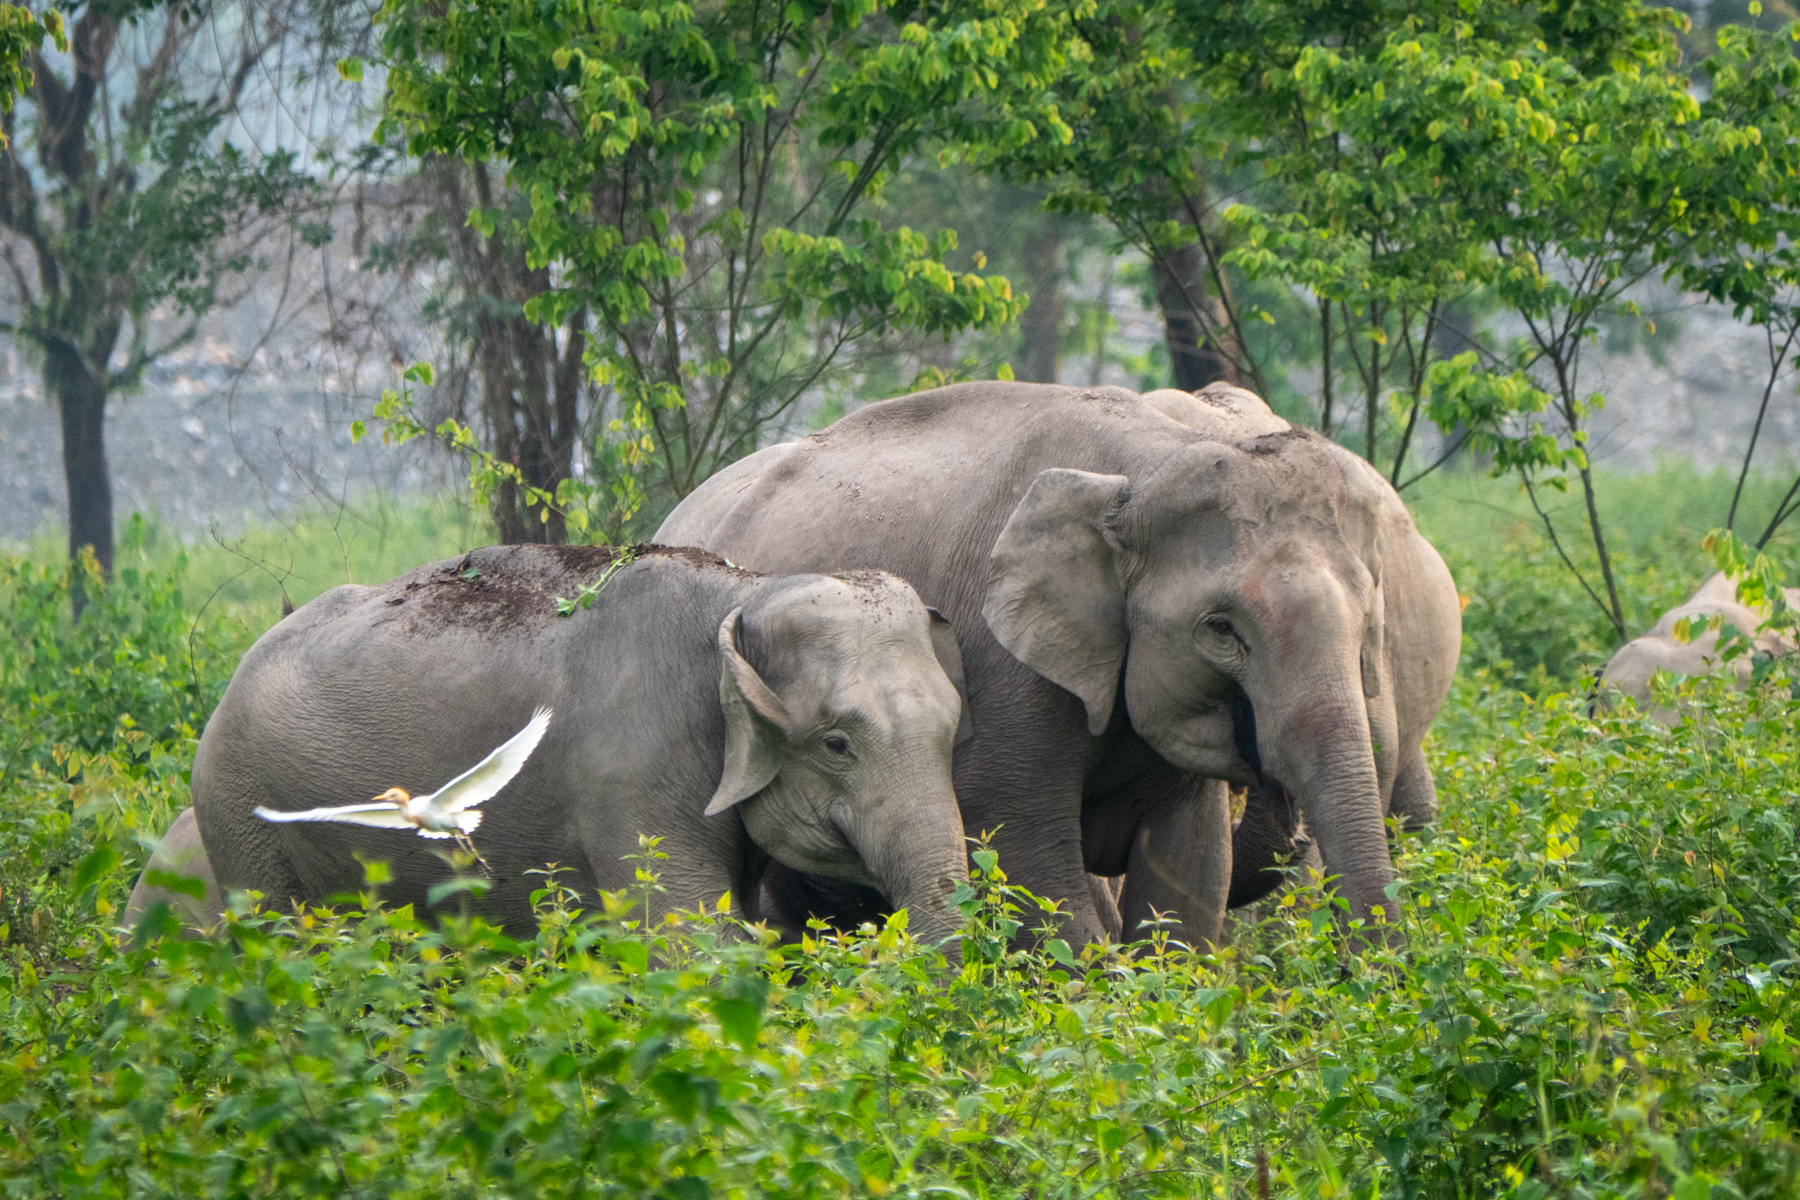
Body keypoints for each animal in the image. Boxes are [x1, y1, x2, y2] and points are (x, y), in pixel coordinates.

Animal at [190, 543, 971, 943]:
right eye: (837, 744)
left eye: (952, 731)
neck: (743, 592)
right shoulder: (627, 773)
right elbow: (688, 943)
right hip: (238, 814)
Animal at [657, 381, 1462, 948]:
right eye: (1222, 629)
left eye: (1369, 619)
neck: (1141, 465)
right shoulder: (1001, 665)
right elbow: (1032, 870)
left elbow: (1187, 883)